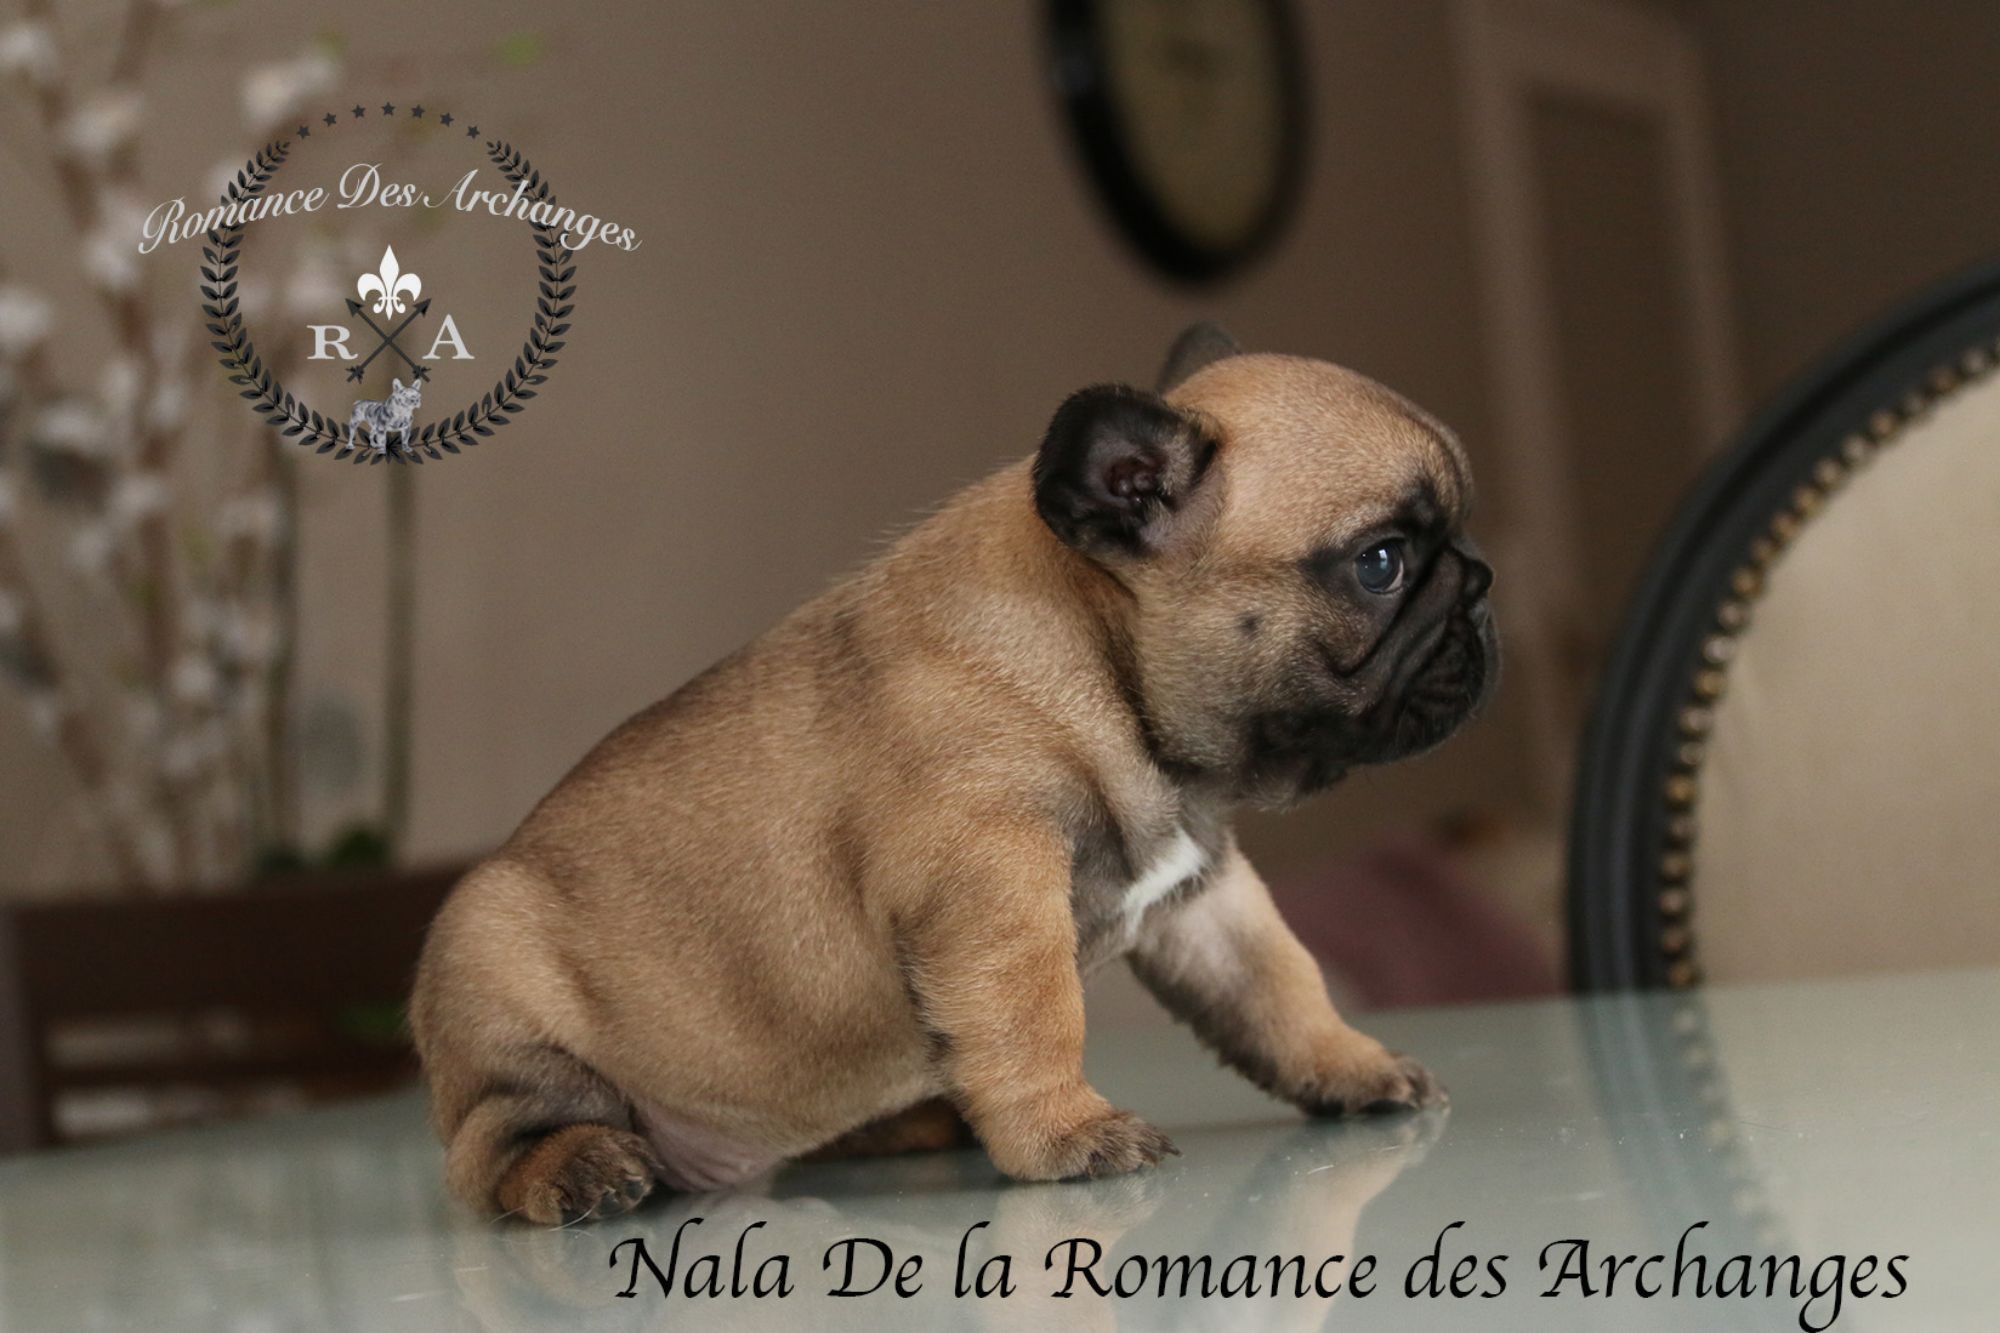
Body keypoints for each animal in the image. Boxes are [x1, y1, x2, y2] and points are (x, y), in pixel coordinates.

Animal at [411, 324, 1498, 1225]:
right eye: (1383, 562)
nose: (1484, 588)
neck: (1102, 665)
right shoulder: (991, 882)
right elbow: (1034, 1017)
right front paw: (1066, 1132)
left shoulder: (1204, 895)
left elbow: (1278, 985)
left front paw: (1349, 1066)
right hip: (505, 1016)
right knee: (492, 1152)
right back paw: (581, 1168)